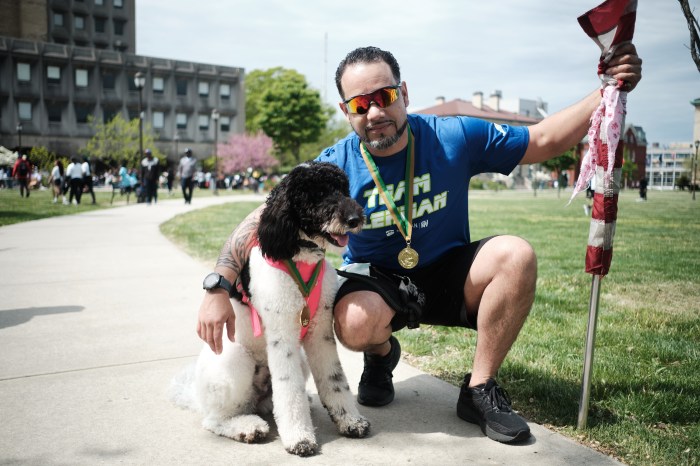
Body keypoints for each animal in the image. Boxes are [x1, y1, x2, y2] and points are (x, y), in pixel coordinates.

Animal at [174, 162, 372, 456]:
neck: (298, 258)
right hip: (236, 364)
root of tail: (197, 395)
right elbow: (289, 390)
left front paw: (350, 421)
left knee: (269, 401)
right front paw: (299, 438)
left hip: (298, 362)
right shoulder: (283, 335)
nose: (355, 218)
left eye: (342, 189)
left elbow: (334, 379)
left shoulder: (321, 332)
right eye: (317, 194)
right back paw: (248, 427)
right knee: (215, 420)